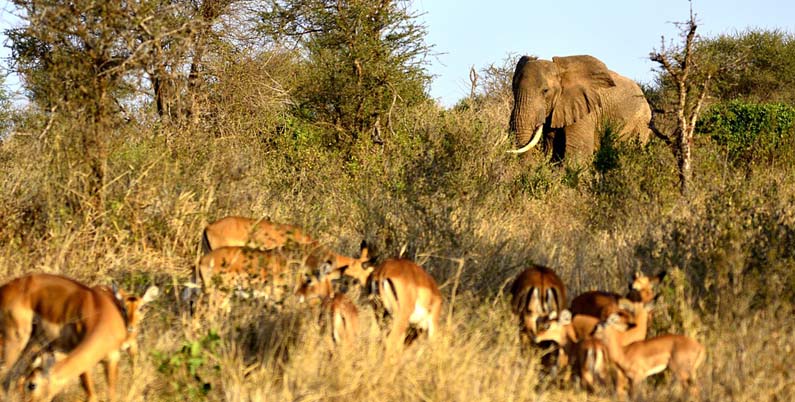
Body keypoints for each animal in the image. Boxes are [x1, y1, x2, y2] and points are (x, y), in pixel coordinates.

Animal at [510, 55, 652, 162]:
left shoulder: (586, 109)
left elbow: (578, 151)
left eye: (545, 91)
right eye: (514, 89)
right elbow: (553, 149)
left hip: (642, 122)